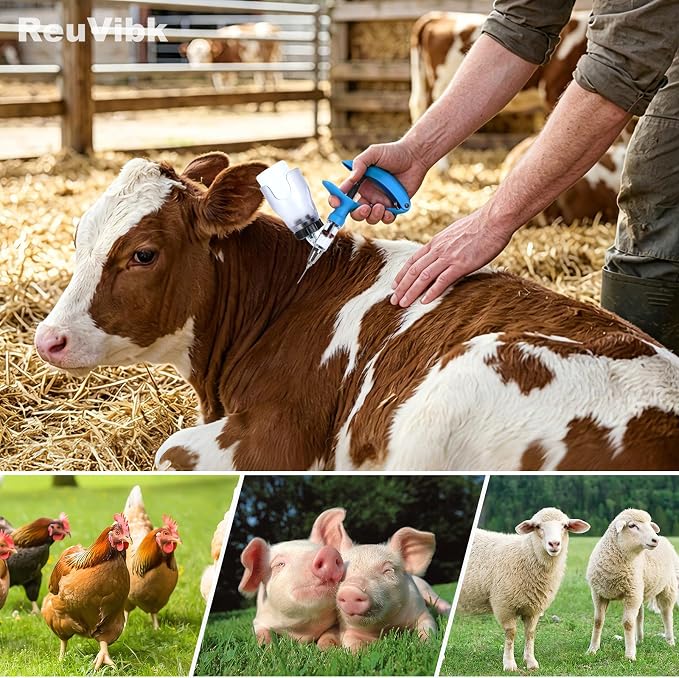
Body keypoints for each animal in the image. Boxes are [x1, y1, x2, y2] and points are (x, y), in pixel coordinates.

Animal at [238, 509, 345, 647]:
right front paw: (267, 648)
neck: (301, 630)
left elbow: (330, 633)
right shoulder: (258, 620)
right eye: (279, 564)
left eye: (321, 549)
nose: (329, 553)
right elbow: (262, 633)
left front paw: (325, 648)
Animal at [458, 507, 590, 671]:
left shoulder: (534, 608)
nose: (554, 544)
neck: (526, 554)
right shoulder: (504, 605)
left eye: (565, 526)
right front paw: (509, 664)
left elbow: (530, 633)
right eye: (538, 526)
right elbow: (511, 634)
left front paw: (531, 662)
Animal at [586, 508, 678, 661]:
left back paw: (670, 641)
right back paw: (638, 640)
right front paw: (592, 649)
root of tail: (665, 539)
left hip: (667, 588)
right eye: (632, 526)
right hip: (640, 589)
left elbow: (628, 624)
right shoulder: (599, 594)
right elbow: (598, 621)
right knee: (640, 616)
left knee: (667, 614)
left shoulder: (631, 594)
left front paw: (629, 655)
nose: (655, 540)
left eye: (649, 524)